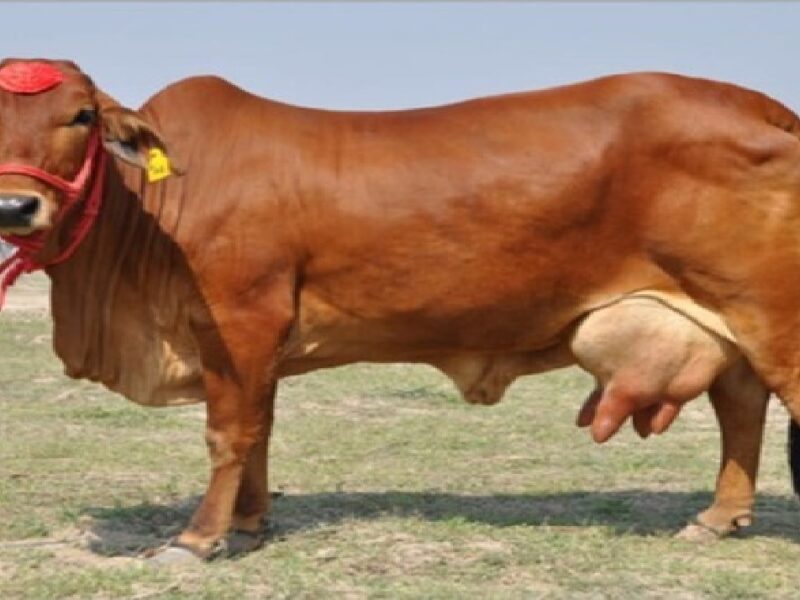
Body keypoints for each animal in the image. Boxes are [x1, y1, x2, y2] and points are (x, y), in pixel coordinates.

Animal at [0, 58, 796, 562]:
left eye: (80, 115)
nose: (15, 206)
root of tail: (764, 104)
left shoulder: (238, 321)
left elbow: (229, 434)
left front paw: (198, 539)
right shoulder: (261, 345)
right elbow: (259, 431)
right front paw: (251, 523)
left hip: (772, 316)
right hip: (725, 316)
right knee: (740, 405)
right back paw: (717, 519)